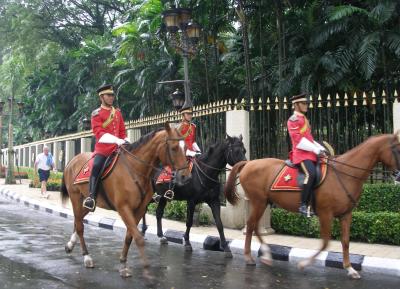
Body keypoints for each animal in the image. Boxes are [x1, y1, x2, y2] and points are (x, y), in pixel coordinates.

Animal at [60, 122, 190, 278]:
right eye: (174, 148)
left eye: (186, 147)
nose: (186, 176)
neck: (135, 169)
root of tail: (71, 161)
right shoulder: (123, 208)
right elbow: (138, 237)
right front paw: (145, 268)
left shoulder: (139, 209)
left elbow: (130, 236)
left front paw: (123, 262)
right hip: (76, 197)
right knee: (80, 226)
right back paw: (87, 257)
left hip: (87, 203)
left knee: (78, 220)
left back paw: (70, 245)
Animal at [225, 133, 400, 280]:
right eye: (397, 149)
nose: (398, 175)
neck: (344, 173)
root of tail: (248, 164)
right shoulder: (325, 214)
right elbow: (325, 242)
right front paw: (305, 263)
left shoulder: (346, 214)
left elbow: (345, 241)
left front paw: (350, 268)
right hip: (258, 201)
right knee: (251, 225)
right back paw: (249, 256)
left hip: (263, 202)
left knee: (254, 226)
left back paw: (266, 255)